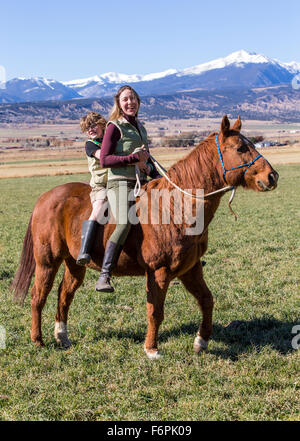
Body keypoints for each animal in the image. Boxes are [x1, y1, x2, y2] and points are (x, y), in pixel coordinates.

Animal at [11, 116, 278, 358]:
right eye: (240, 148)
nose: (272, 176)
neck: (176, 207)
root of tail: (45, 198)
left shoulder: (190, 269)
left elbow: (207, 300)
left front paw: (201, 342)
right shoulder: (159, 272)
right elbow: (155, 311)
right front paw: (152, 349)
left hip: (74, 264)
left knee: (64, 294)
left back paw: (62, 336)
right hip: (47, 261)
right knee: (38, 296)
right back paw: (38, 340)